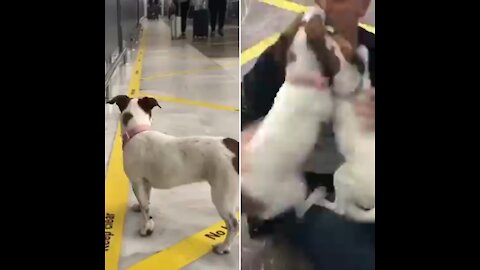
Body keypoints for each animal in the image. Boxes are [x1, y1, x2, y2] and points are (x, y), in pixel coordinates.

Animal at [106, 96, 238, 254]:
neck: (138, 131)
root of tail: (234, 147)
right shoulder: (145, 182)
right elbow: (145, 201)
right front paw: (139, 208)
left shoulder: (137, 181)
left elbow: (145, 207)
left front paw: (147, 227)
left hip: (222, 194)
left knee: (233, 224)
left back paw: (224, 247)